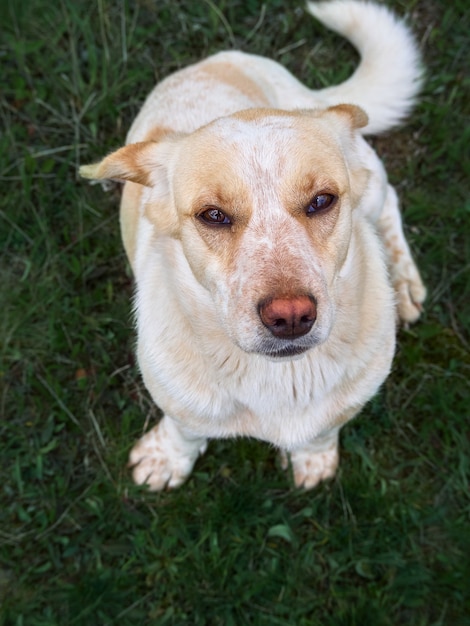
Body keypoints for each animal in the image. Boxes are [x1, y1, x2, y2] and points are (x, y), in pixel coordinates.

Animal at [81, 0, 426, 488]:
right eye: (213, 215)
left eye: (322, 200)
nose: (291, 316)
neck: (280, 379)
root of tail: (216, 60)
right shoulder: (177, 397)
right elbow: (185, 429)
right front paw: (167, 458)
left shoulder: (353, 393)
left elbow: (324, 429)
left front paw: (313, 459)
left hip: (371, 182)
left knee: (389, 200)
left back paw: (405, 283)